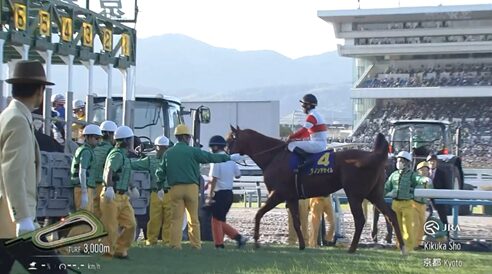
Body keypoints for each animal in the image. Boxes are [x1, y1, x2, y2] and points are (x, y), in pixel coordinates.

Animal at [227, 126, 408, 255]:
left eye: (230, 139)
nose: (227, 153)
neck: (274, 156)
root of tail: (374, 156)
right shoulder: (291, 197)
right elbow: (297, 222)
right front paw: (301, 245)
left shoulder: (277, 194)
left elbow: (258, 214)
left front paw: (256, 242)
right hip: (374, 195)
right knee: (391, 215)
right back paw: (402, 248)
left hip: (355, 195)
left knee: (360, 220)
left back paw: (352, 248)